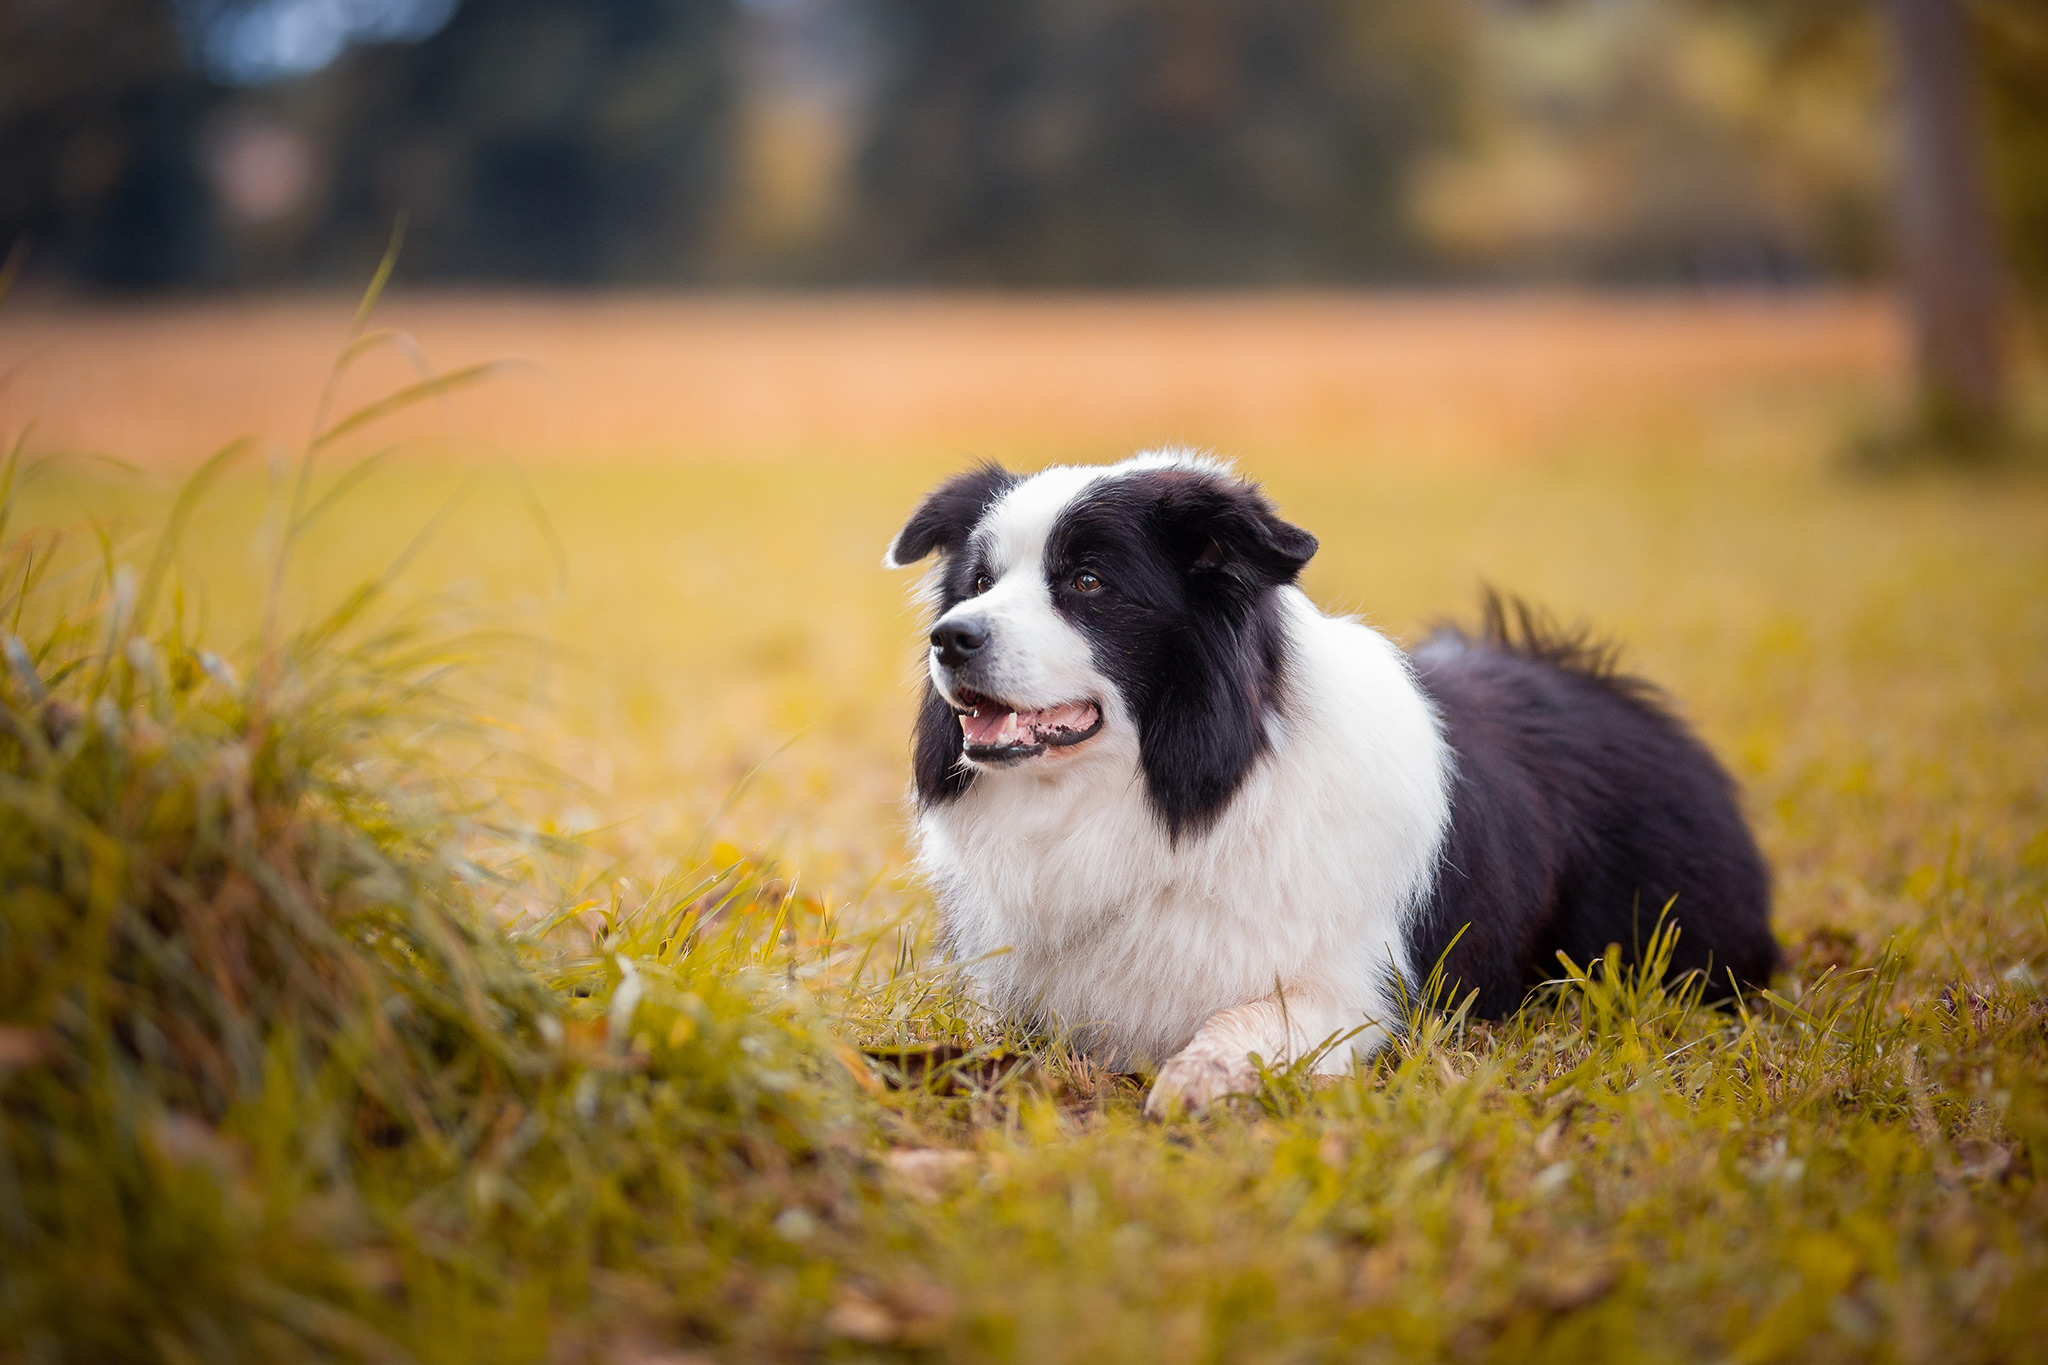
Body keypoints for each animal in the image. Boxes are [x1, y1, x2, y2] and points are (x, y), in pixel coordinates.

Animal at [888, 454, 1785, 1113]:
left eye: (1086, 582)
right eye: (977, 584)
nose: (950, 638)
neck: (1172, 794)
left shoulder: (1358, 991)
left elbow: (1245, 1016)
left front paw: (1196, 1079)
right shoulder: (1008, 990)